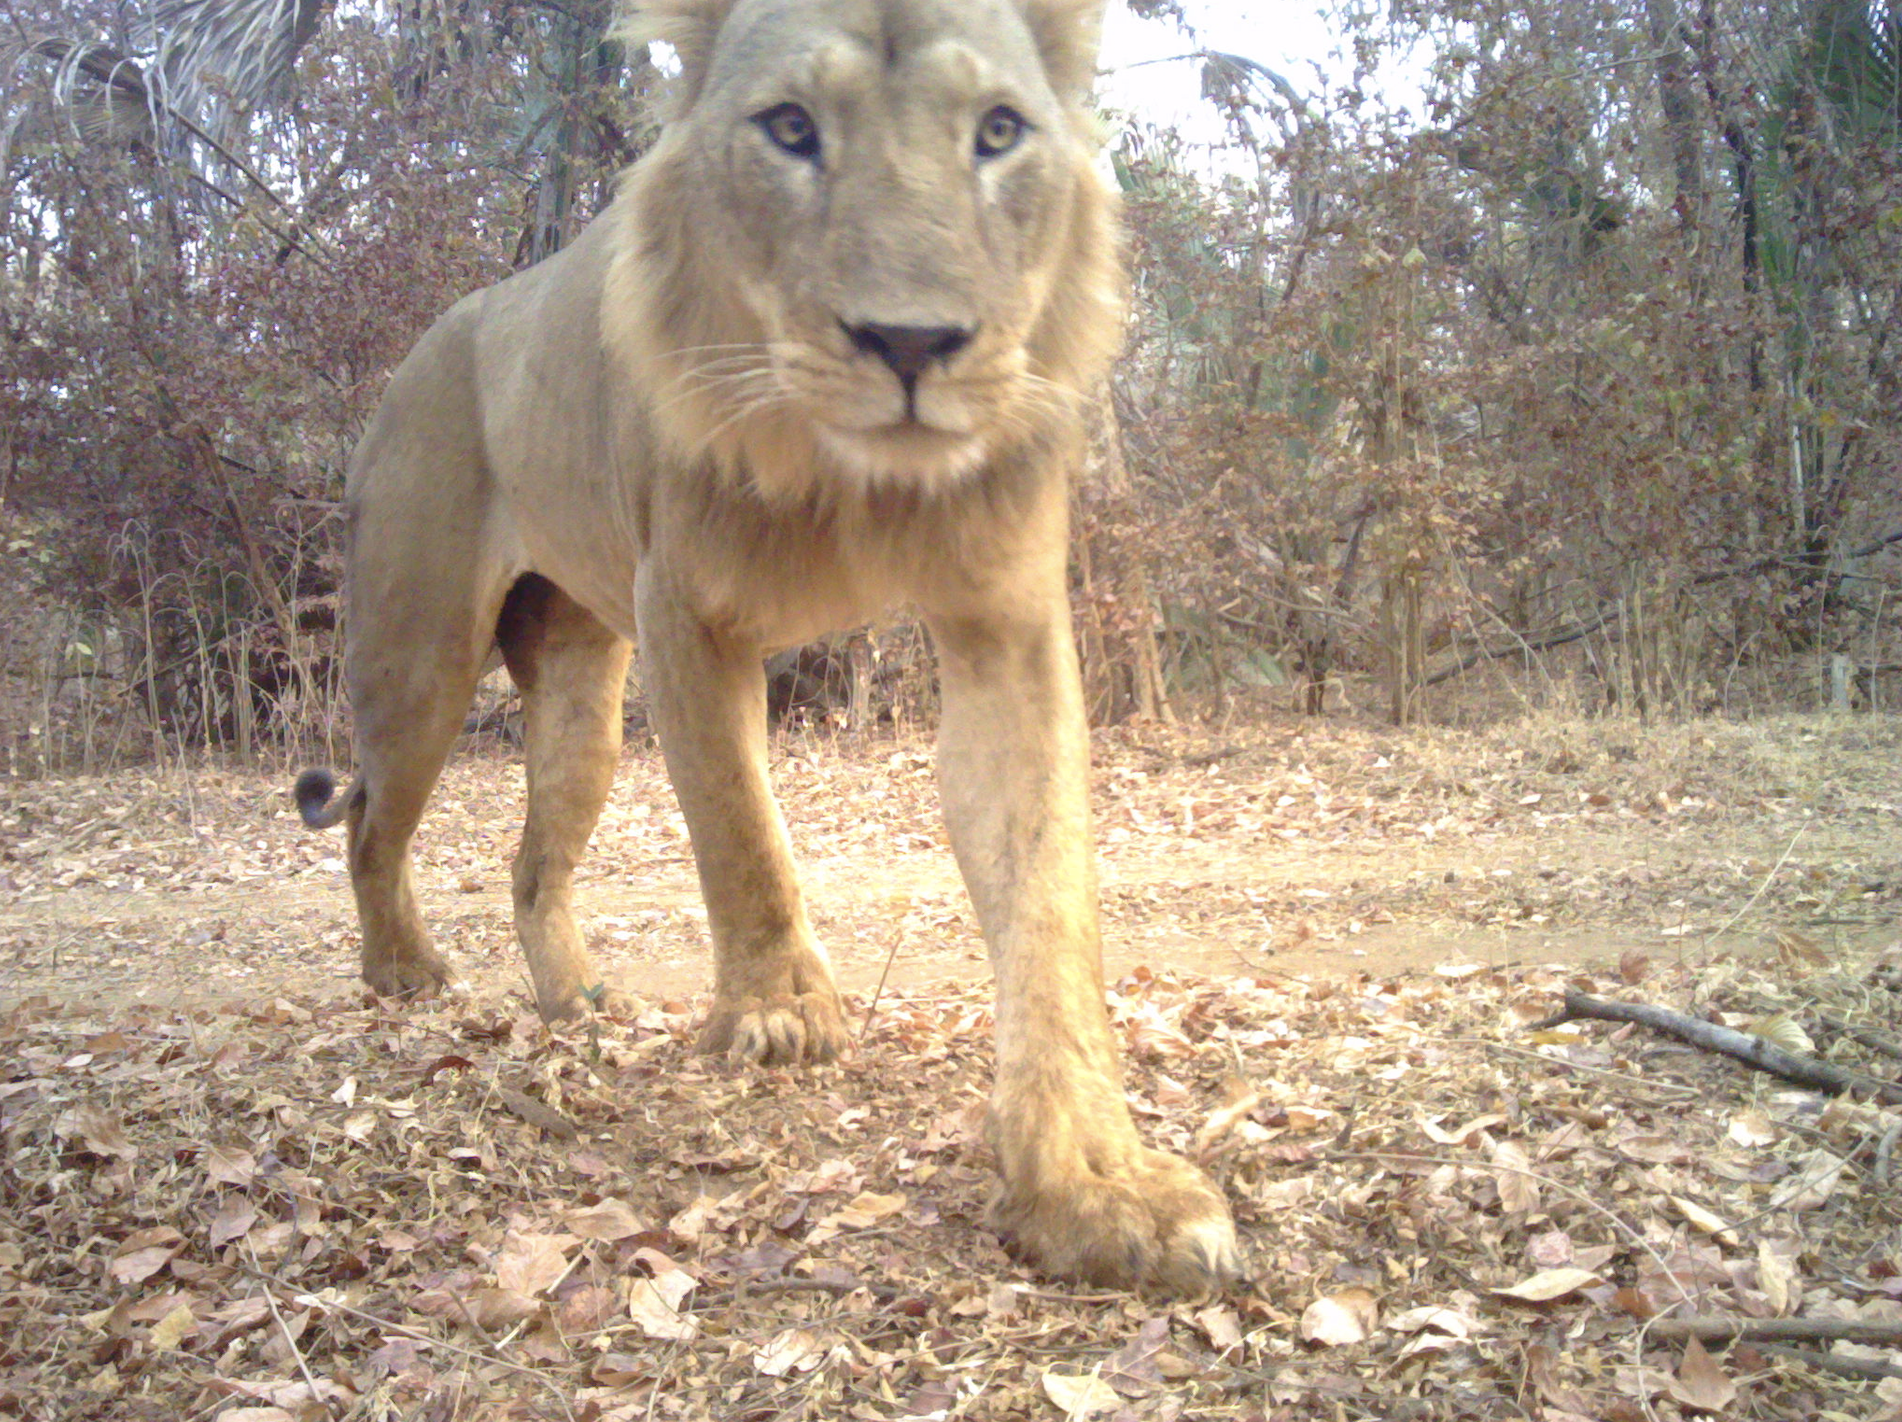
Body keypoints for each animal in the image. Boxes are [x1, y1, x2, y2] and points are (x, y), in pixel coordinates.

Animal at [294, 0, 1241, 1293]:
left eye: (998, 132)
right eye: (790, 128)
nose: (911, 341)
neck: (844, 477)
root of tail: (418, 351)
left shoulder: (1003, 623)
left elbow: (1049, 902)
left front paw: (1096, 1184)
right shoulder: (685, 611)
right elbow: (739, 828)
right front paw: (783, 1014)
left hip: (581, 693)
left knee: (532, 859)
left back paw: (578, 1002)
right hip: (421, 653)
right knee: (372, 828)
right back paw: (404, 976)